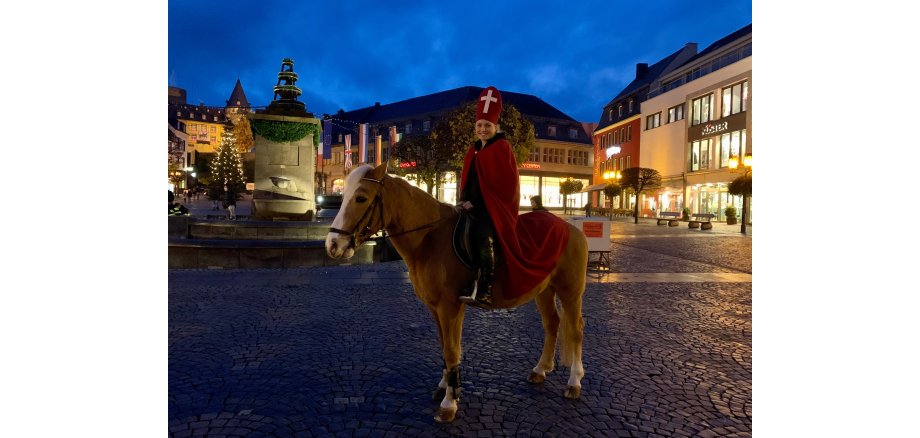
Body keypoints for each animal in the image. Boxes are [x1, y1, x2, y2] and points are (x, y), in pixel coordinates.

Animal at [326, 163, 588, 422]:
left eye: (361, 198)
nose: (332, 244)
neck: (430, 239)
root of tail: (571, 228)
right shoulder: (434, 308)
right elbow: (443, 347)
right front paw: (446, 386)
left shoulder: (450, 307)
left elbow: (452, 351)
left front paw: (449, 403)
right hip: (543, 290)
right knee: (552, 323)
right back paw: (541, 369)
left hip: (570, 291)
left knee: (576, 330)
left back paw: (574, 382)